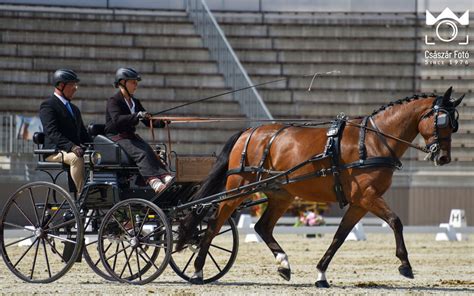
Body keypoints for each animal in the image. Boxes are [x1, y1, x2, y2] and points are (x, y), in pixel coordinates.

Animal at [176, 86, 462, 288]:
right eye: (442, 121)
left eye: (454, 125)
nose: (443, 158)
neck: (372, 142)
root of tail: (249, 132)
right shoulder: (368, 197)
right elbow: (396, 221)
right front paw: (405, 265)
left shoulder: (359, 202)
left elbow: (339, 237)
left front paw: (321, 274)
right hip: (239, 188)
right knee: (214, 224)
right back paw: (198, 270)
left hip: (281, 194)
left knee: (262, 228)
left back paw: (284, 265)